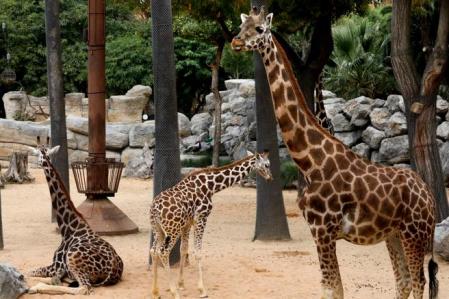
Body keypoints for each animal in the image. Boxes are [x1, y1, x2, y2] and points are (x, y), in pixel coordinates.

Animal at [27, 139, 122, 296]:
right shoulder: (58, 270)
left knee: (84, 288)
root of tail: (113, 270)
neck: (67, 228)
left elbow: (29, 272)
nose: (34, 165)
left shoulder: (56, 266)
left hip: (73, 257)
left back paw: (35, 287)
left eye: (35, 154)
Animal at [149, 152, 272, 299]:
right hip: (172, 230)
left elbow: (184, 249)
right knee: (163, 251)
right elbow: (198, 252)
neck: (211, 186)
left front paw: (181, 284)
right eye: (267, 165)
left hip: (158, 230)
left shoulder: (187, 223)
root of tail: (154, 209)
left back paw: (156, 292)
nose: (270, 178)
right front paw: (202, 290)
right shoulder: (201, 218)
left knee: (153, 251)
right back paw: (174, 293)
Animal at [233, 7, 436, 299]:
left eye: (259, 29)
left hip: (414, 233)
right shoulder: (318, 231)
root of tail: (430, 196)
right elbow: (331, 286)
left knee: (419, 281)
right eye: (242, 27)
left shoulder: (323, 230)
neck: (309, 161)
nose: (236, 42)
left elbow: (333, 288)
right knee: (404, 281)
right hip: (394, 235)